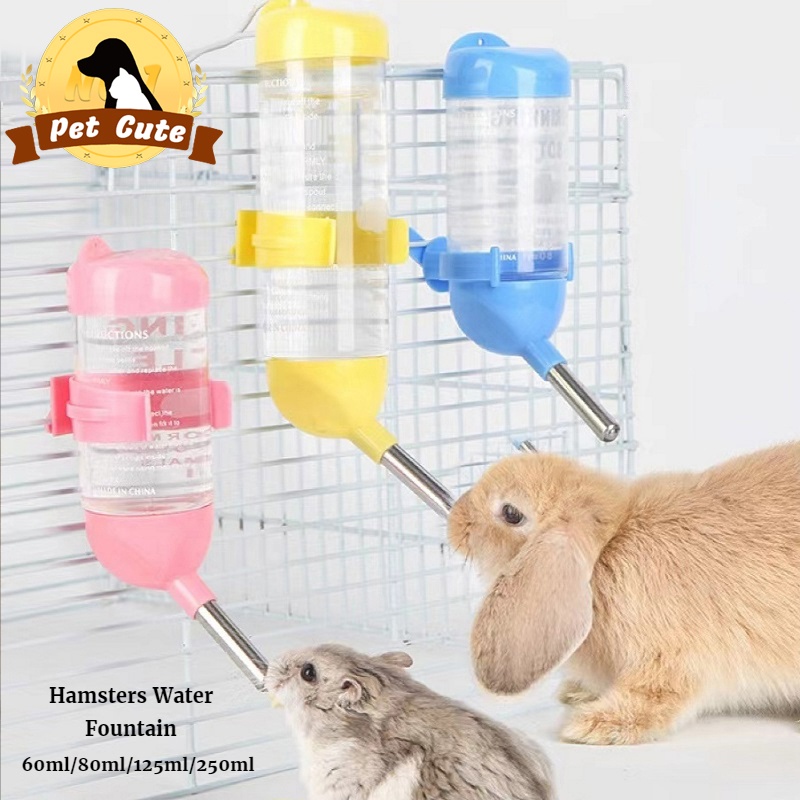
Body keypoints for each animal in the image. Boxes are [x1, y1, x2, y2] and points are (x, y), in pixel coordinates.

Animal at [449, 442, 800, 745]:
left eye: (511, 513)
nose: (455, 518)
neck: (610, 544)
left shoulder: (668, 658)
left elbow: (654, 698)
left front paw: (594, 725)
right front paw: (576, 693)